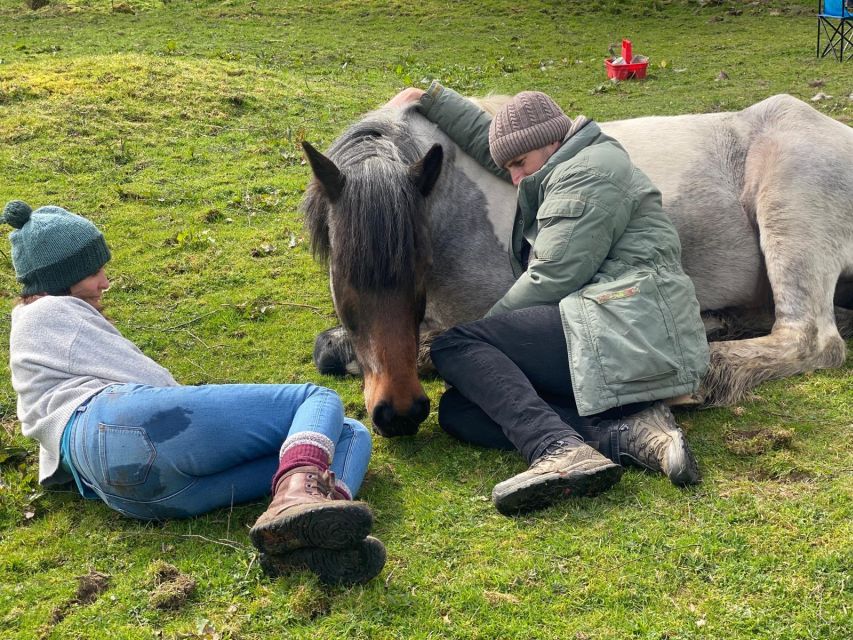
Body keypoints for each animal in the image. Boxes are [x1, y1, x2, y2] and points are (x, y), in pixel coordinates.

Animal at [300, 94, 852, 436]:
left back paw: (700, 375)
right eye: (343, 282)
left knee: (809, 339)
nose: (398, 413)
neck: (449, 196)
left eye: (417, 272)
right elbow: (328, 348)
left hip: (789, 217)